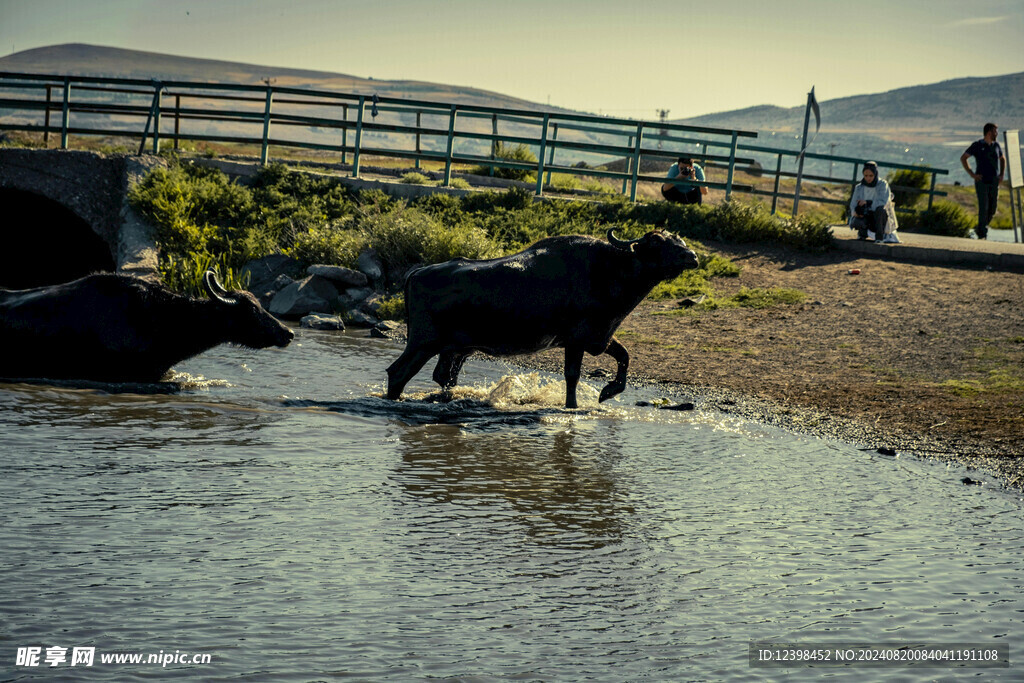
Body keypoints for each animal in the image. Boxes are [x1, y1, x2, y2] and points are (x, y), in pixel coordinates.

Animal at [387, 229, 700, 409]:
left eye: (679, 240)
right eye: (657, 242)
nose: (693, 257)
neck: (608, 271)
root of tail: (417, 273)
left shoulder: (600, 337)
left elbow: (625, 357)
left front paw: (608, 392)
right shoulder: (576, 341)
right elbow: (572, 376)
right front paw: (572, 406)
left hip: (452, 349)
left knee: (442, 376)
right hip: (422, 344)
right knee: (398, 373)